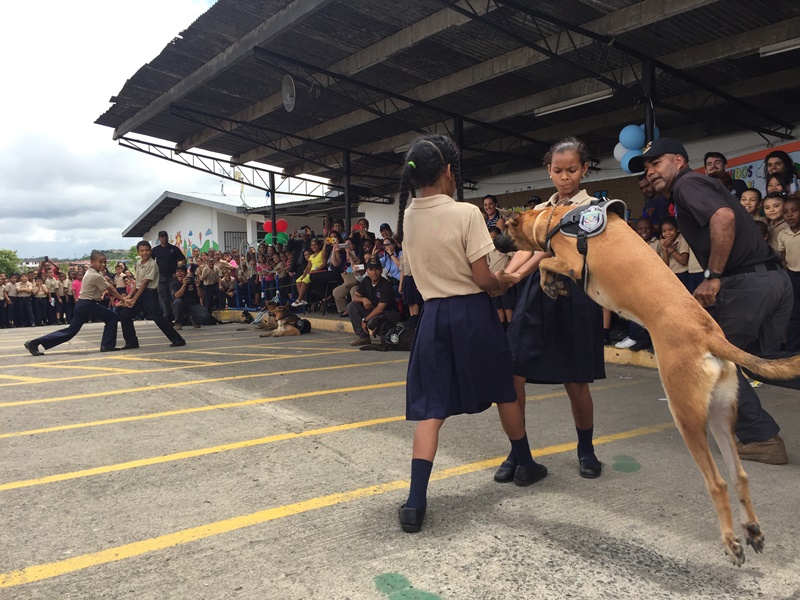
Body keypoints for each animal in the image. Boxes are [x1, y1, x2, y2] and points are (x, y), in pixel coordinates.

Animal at [505, 203, 800, 566]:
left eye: (506, 227)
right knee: (739, 475)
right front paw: (552, 285)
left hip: (686, 414)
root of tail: (711, 336)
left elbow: (545, 262)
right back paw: (753, 530)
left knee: (717, 482)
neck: (557, 217)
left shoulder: (571, 261)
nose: (494, 243)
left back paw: (731, 541)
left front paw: (549, 280)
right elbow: (545, 264)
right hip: (719, 415)